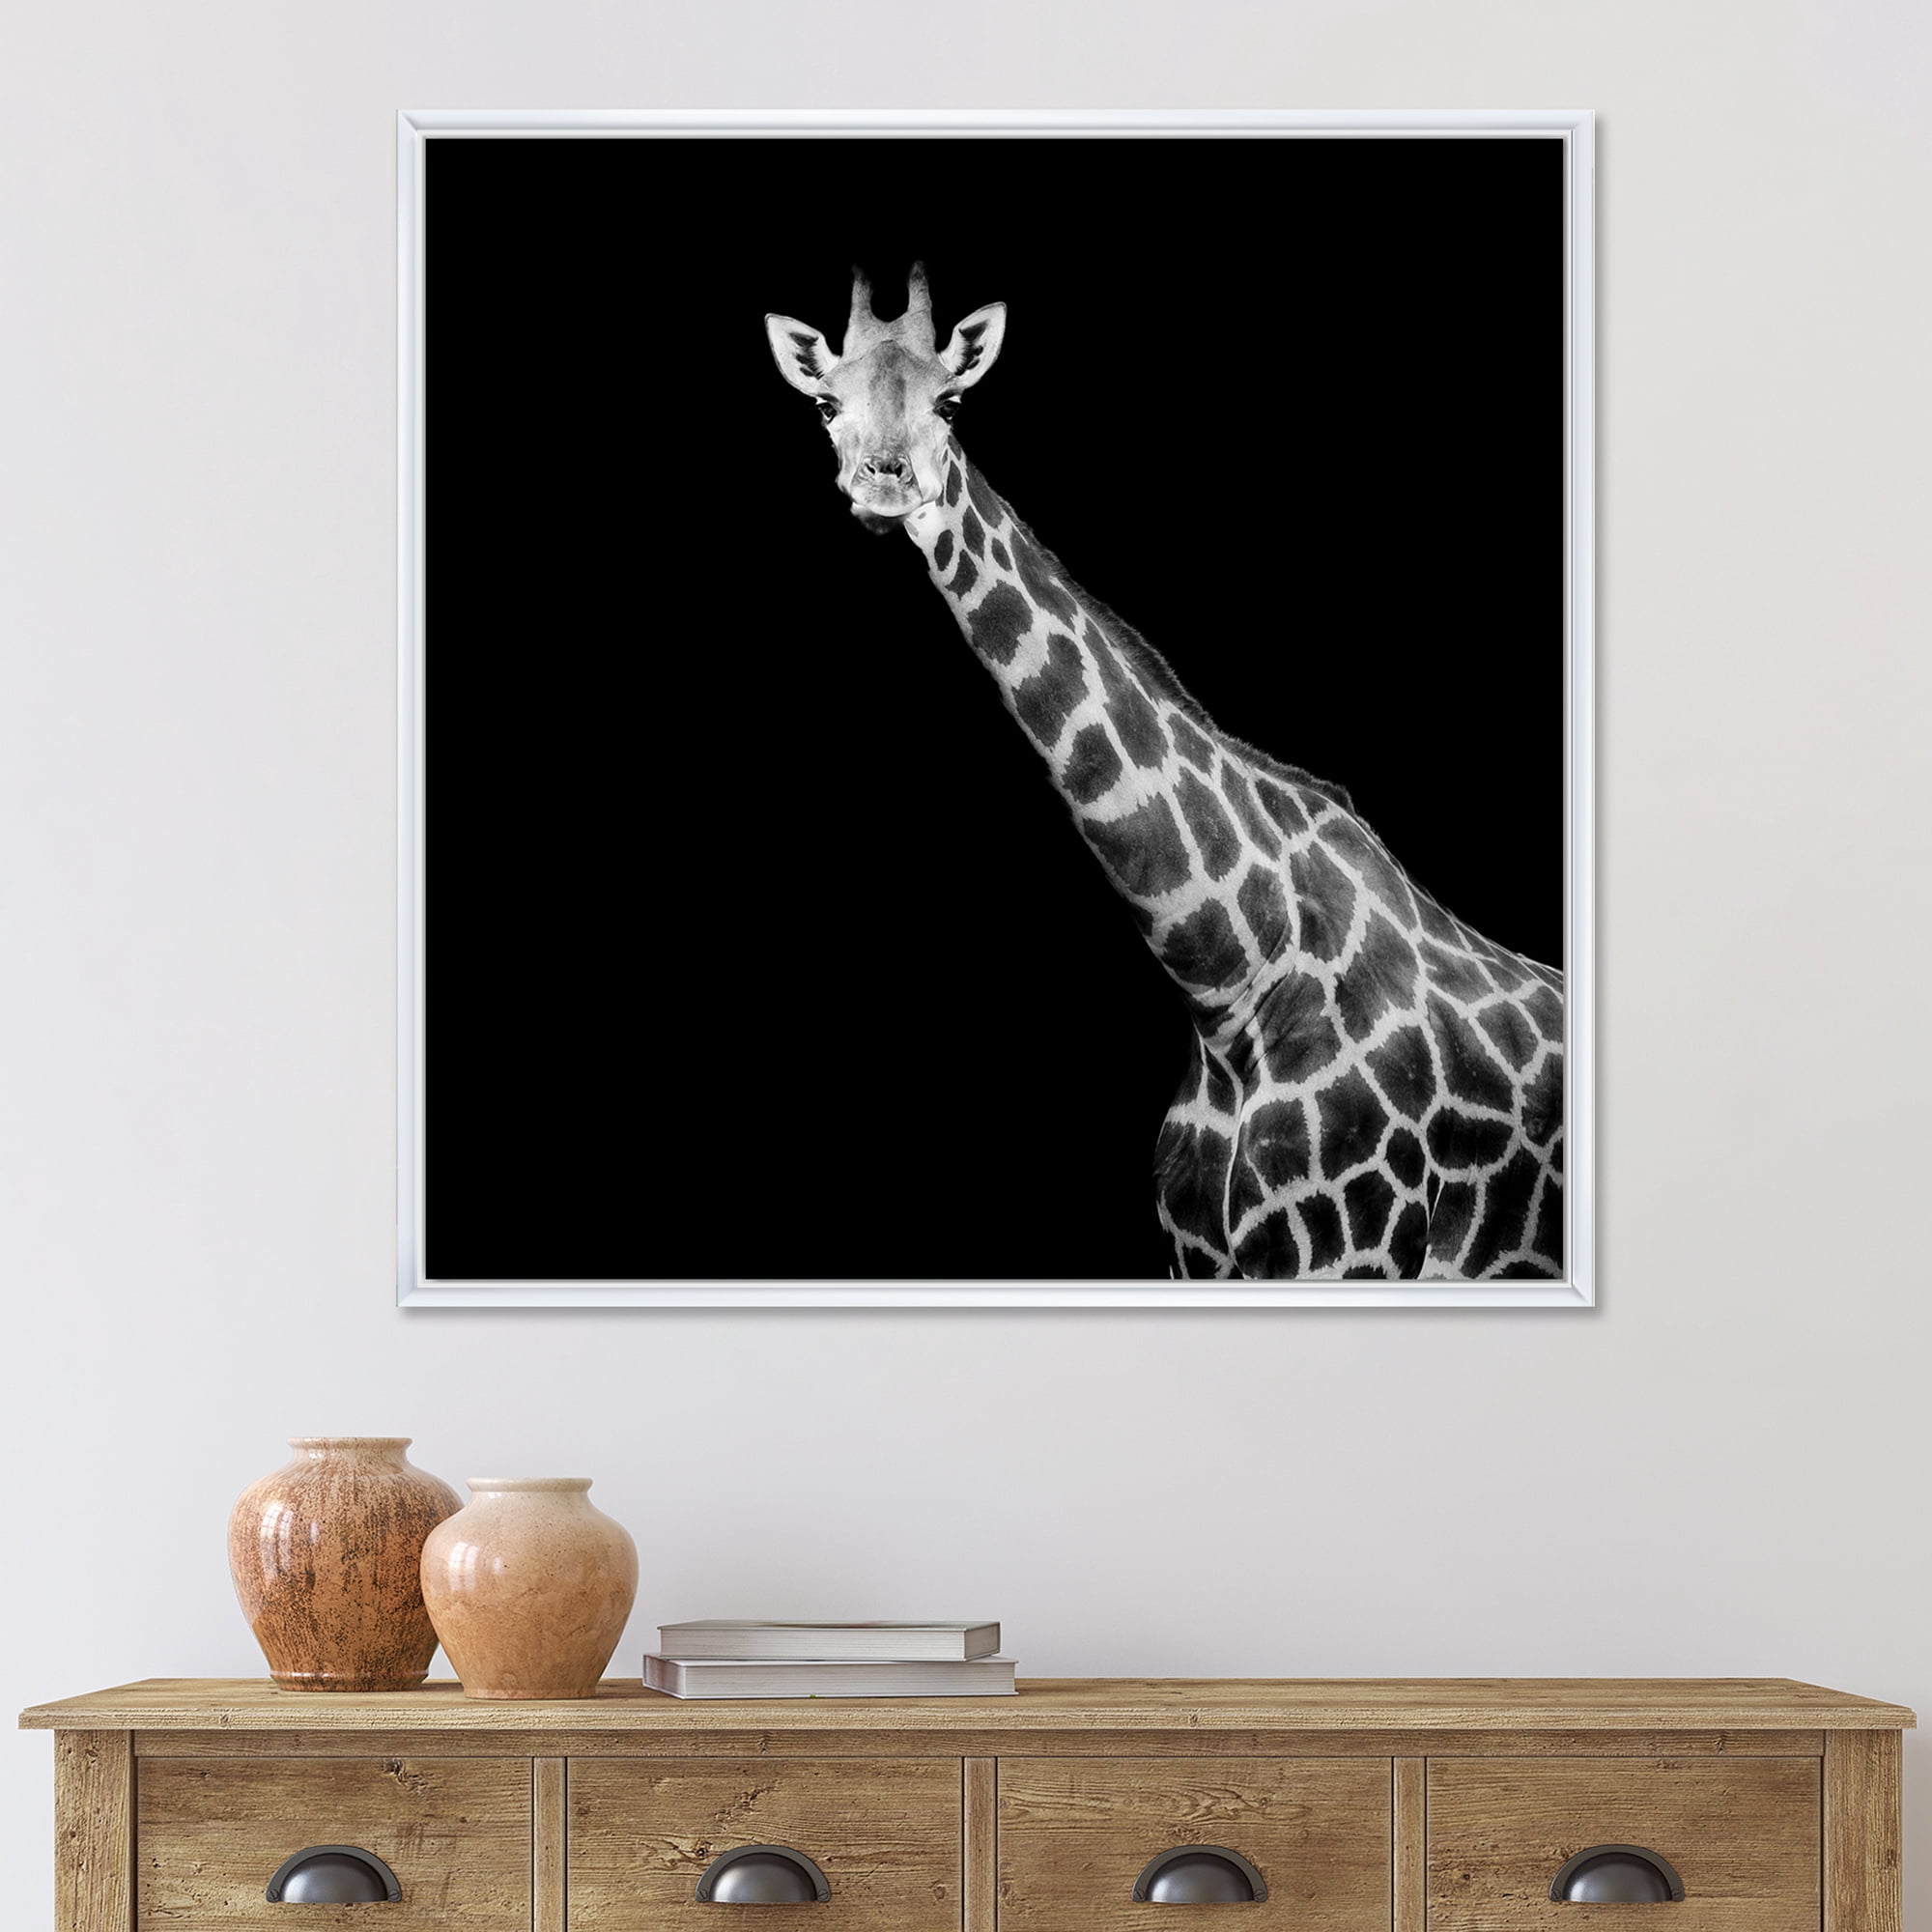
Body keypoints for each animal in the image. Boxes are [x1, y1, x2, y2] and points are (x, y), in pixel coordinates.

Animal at [765, 267, 1564, 1280]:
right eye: (826, 403)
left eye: (951, 402)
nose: (883, 482)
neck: (1228, 983)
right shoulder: (1195, 1256)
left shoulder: (1355, 1248)